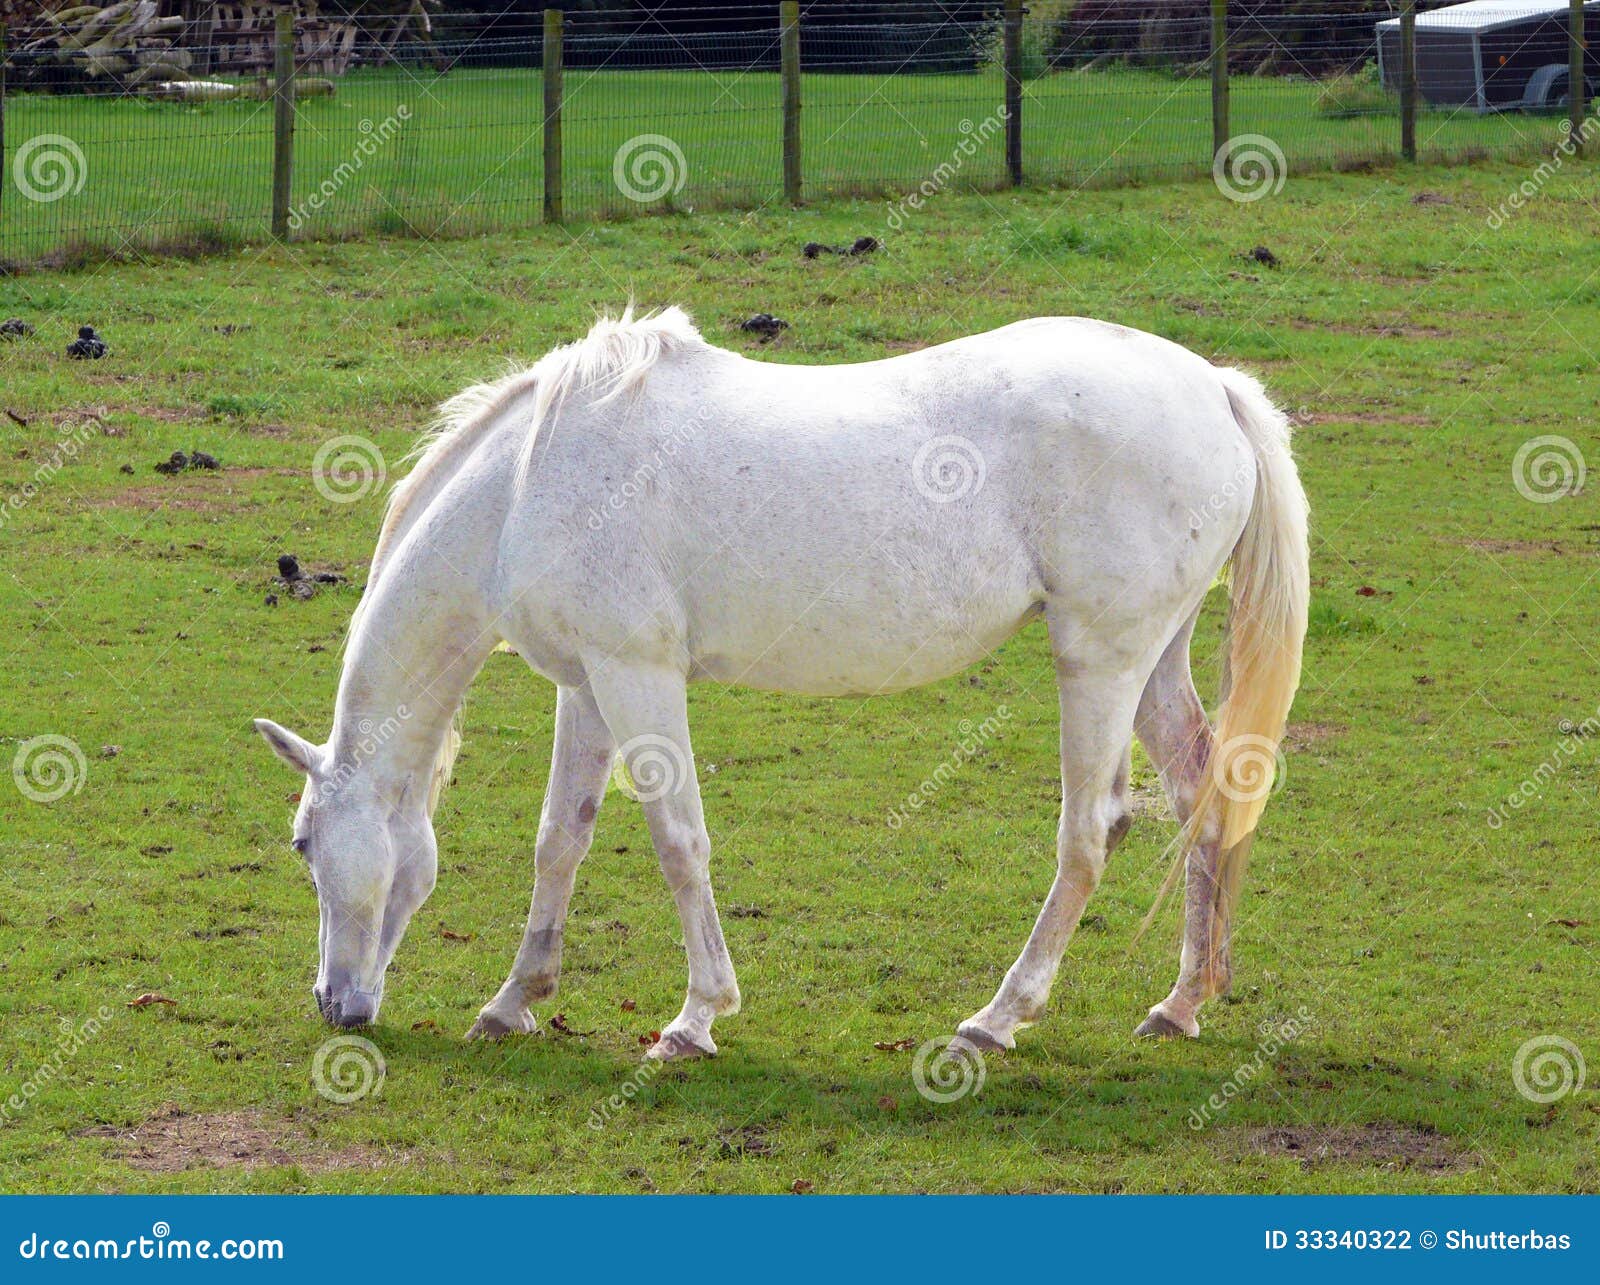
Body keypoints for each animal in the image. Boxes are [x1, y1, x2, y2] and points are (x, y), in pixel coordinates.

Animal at [256, 307, 1305, 1062]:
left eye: (304, 841)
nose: (334, 1004)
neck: (527, 483)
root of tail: (1214, 387)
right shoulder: (588, 686)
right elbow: (561, 841)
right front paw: (515, 1000)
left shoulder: (640, 676)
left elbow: (679, 842)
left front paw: (695, 1018)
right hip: (1154, 660)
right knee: (1204, 798)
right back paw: (1181, 1003)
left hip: (1101, 660)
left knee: (1092, 832)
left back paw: (998, 1016)